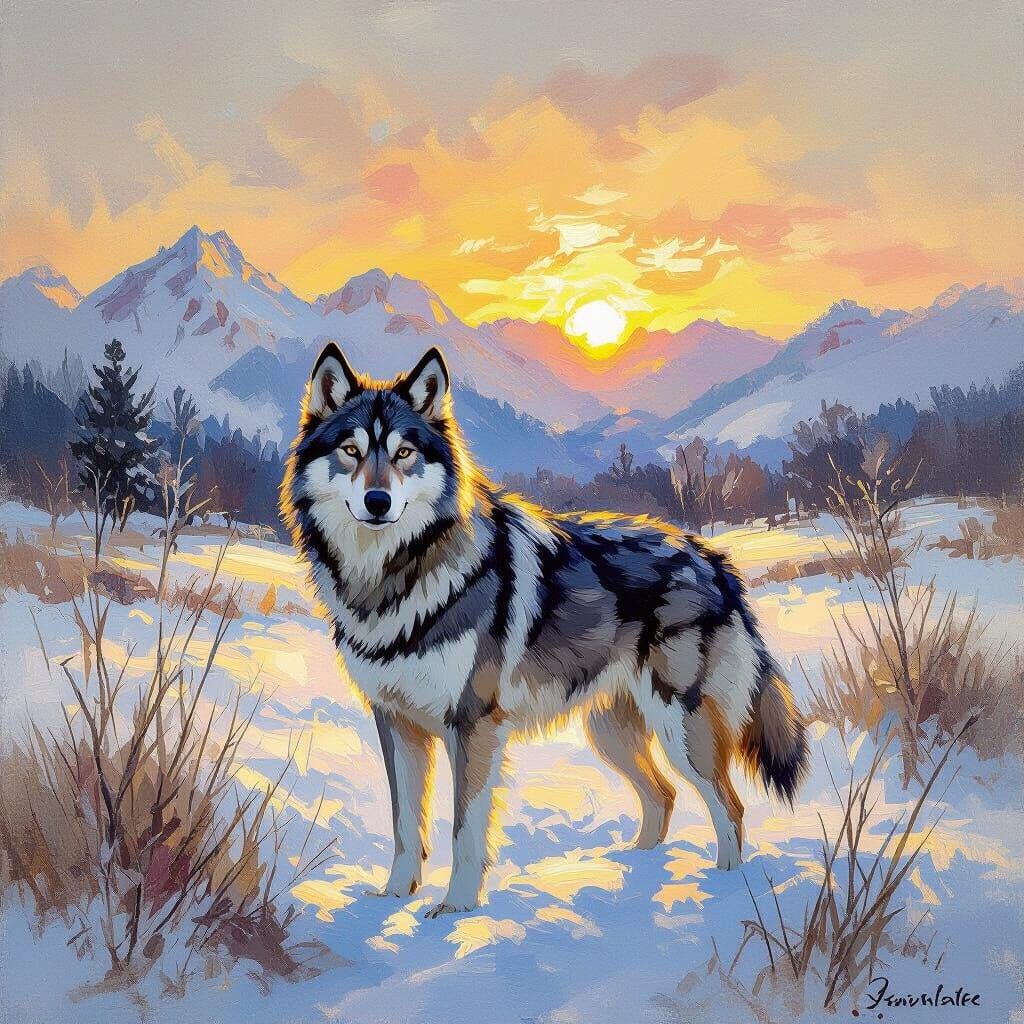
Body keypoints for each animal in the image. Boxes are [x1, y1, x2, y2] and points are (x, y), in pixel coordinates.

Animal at [282, 342, 809, 917]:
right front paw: (393, 898)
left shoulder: (472, 725)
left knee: (730, 807)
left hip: (680, 728)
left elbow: (464, 832)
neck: (393, 579)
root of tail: (713, 558)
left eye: (403, 454)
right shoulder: (395, 722)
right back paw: (636, 870)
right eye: (351, 451)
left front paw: (455, 911)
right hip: (611, 734)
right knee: (664, 796)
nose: (377, 502)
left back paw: (724, 889)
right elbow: (404, 827)